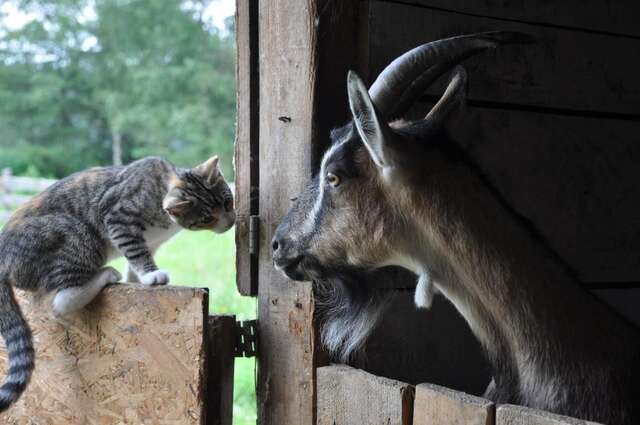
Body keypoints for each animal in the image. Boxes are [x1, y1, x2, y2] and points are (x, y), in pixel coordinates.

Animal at [0, 154, 235, 410]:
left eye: (227, 202)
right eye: (207, 218)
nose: (230, 223)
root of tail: (3, 259)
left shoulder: (152, 241)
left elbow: (137, 259)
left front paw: (138, 279)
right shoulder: (118, 218)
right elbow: (136, 251)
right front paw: (151, 275)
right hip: (78, 236)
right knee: (59, 301)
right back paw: (105, 275)